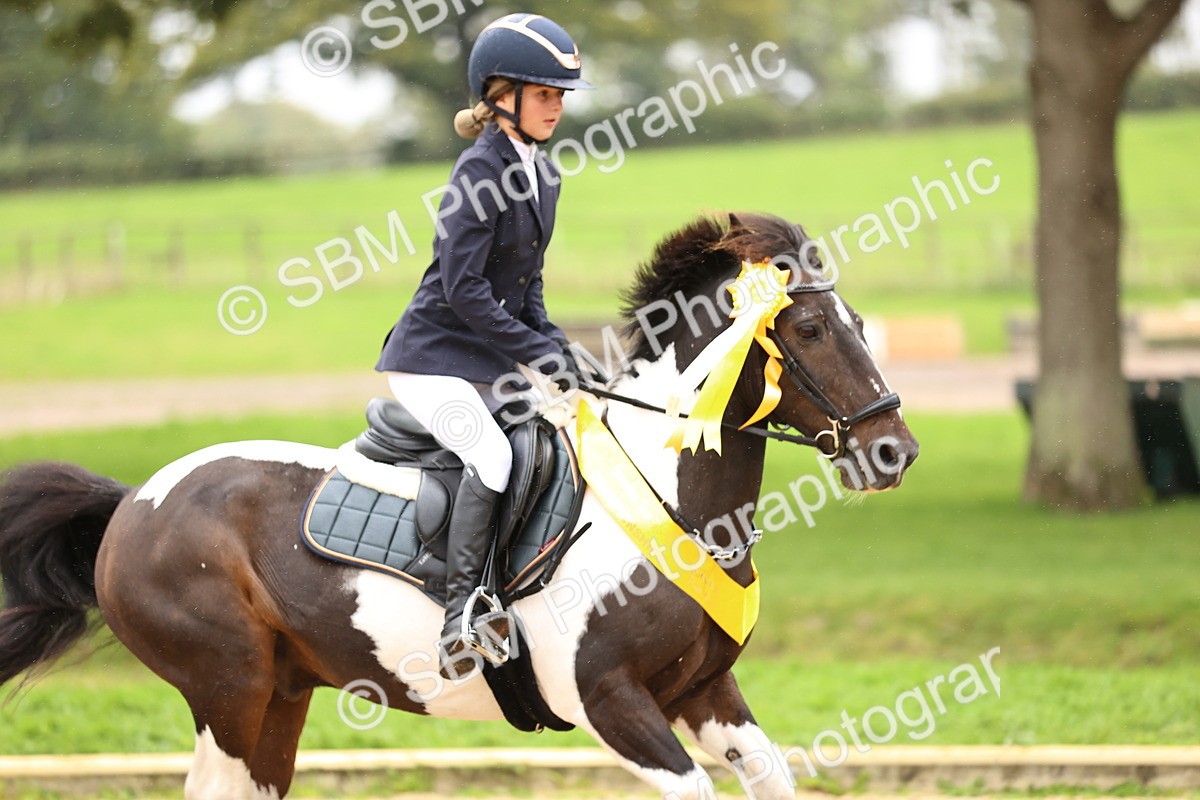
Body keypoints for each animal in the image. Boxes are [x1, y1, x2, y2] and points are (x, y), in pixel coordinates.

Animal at [0, 211, 918, 800]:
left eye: (858, 320)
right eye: (808, 332)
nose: (893, 451)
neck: (677, 503)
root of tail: (134, 503)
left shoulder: (705, 692)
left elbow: (772, 773)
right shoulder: (611, 703)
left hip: (279, 697)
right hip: (230, 689)